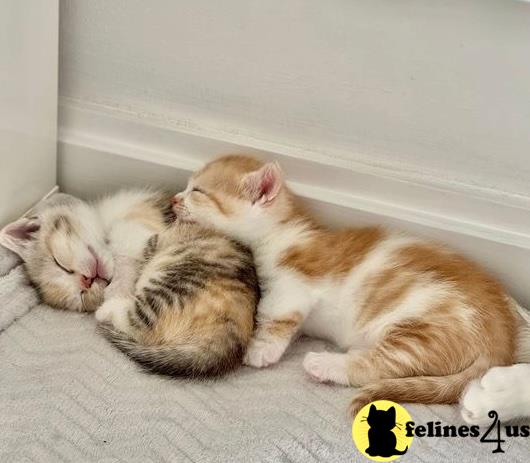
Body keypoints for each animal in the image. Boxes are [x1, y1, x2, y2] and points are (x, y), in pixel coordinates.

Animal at [170, 155, 524, 416]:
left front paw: (261, 347)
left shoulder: (294, 282)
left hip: (425, 332)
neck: (282, 232)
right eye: (186, 188)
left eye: (197, 191)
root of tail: (501, 338)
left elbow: (277, 314)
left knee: (379, 366)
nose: (174, 199)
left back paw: (324, 363)